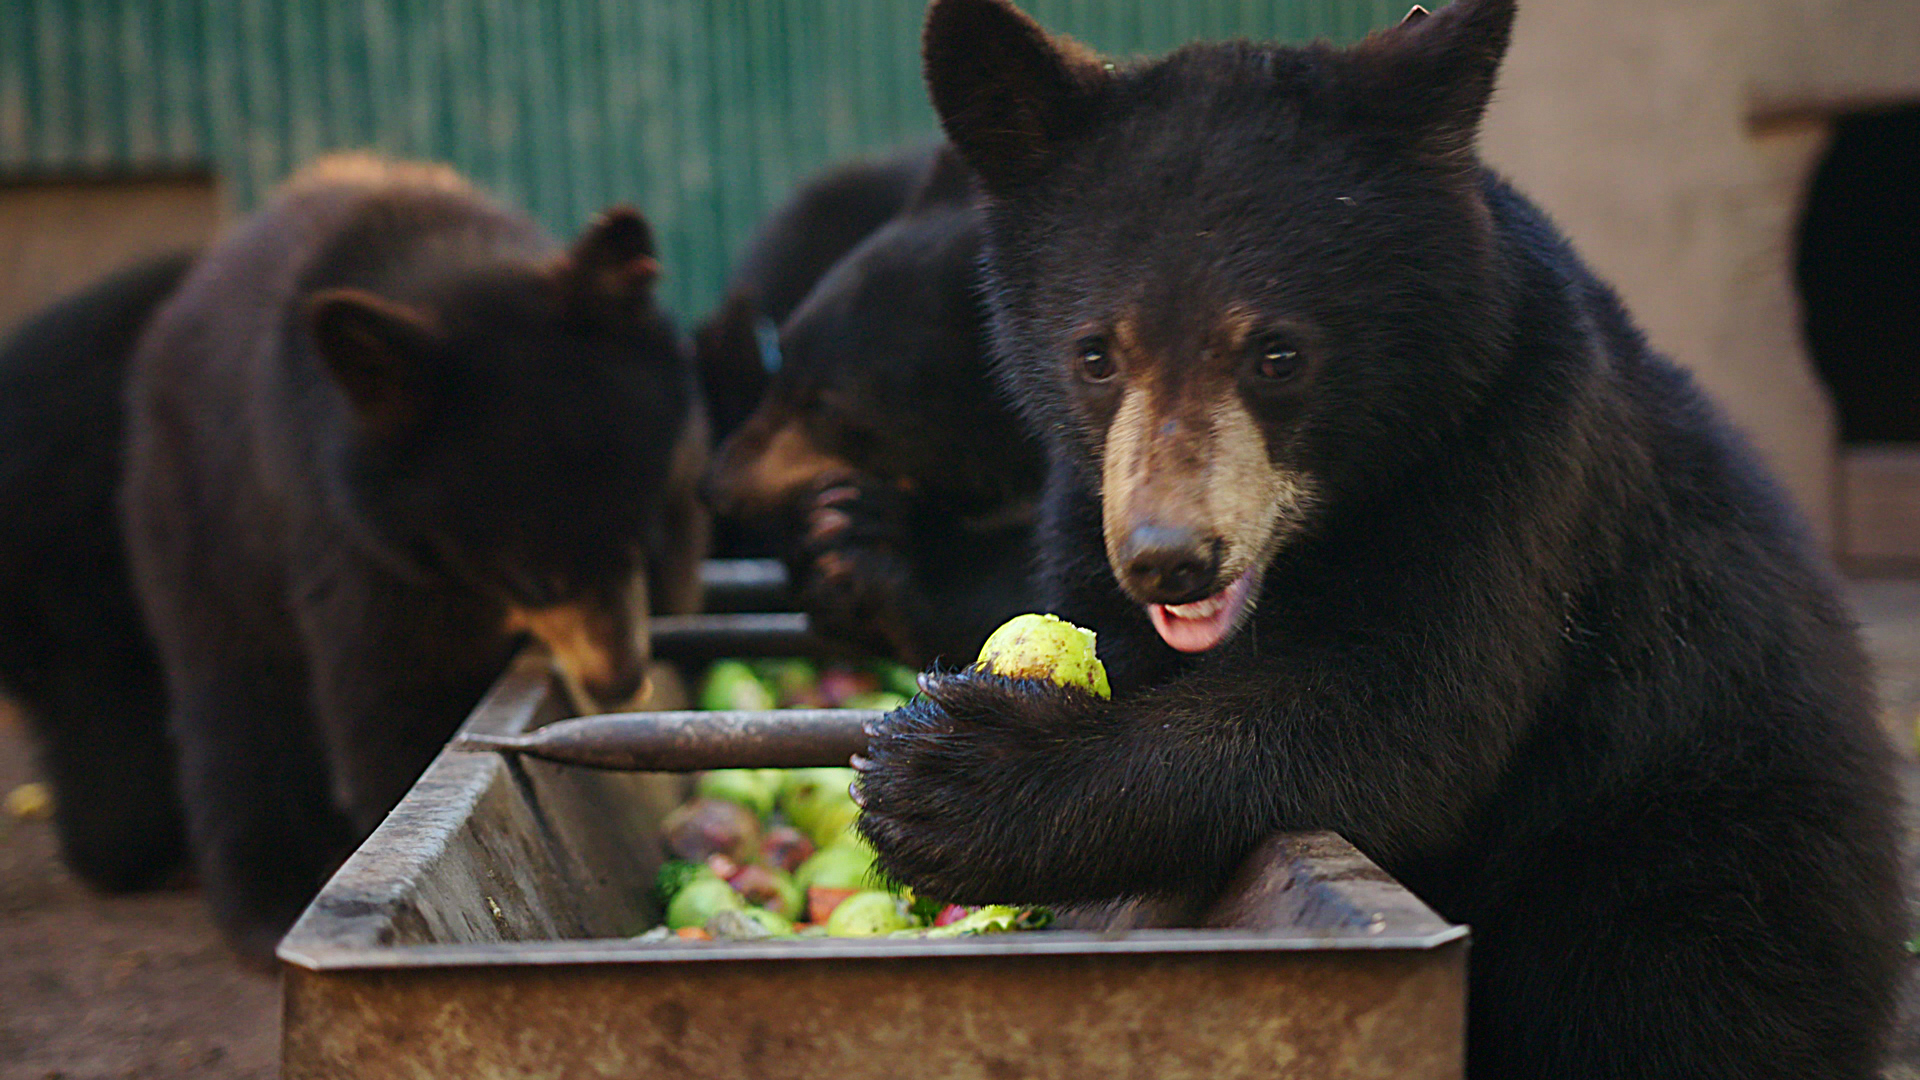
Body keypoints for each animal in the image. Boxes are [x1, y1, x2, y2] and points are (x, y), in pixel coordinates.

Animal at [864, 4, 1912, 1068]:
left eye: (1278, 354)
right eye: (1094, 355)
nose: (1171, 558)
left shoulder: (1518, 452)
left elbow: (1401, 715)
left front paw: (948, 774)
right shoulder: (1088, 496)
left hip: (1694, 849)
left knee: (1669, 993)